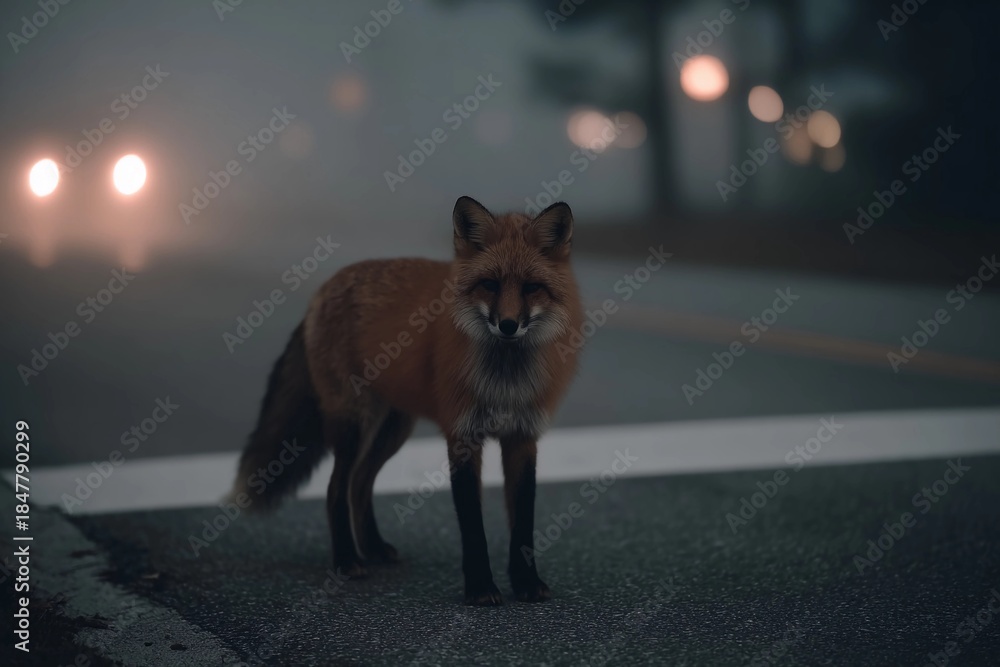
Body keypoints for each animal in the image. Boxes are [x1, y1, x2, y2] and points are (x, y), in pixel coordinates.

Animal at [230, 196, 583, 605]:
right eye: (490, 285)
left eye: (531, 288)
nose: (508, 325)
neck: (504, 379)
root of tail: (324, 289)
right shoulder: (462, 436)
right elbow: (472, 525)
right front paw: (481, 587)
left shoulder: (523, 437)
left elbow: (523, 523)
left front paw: (526, 582)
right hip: (355, 426)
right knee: (336, 489)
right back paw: (347, 560)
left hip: (393, 431)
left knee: (358, 485)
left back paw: (373, 548)